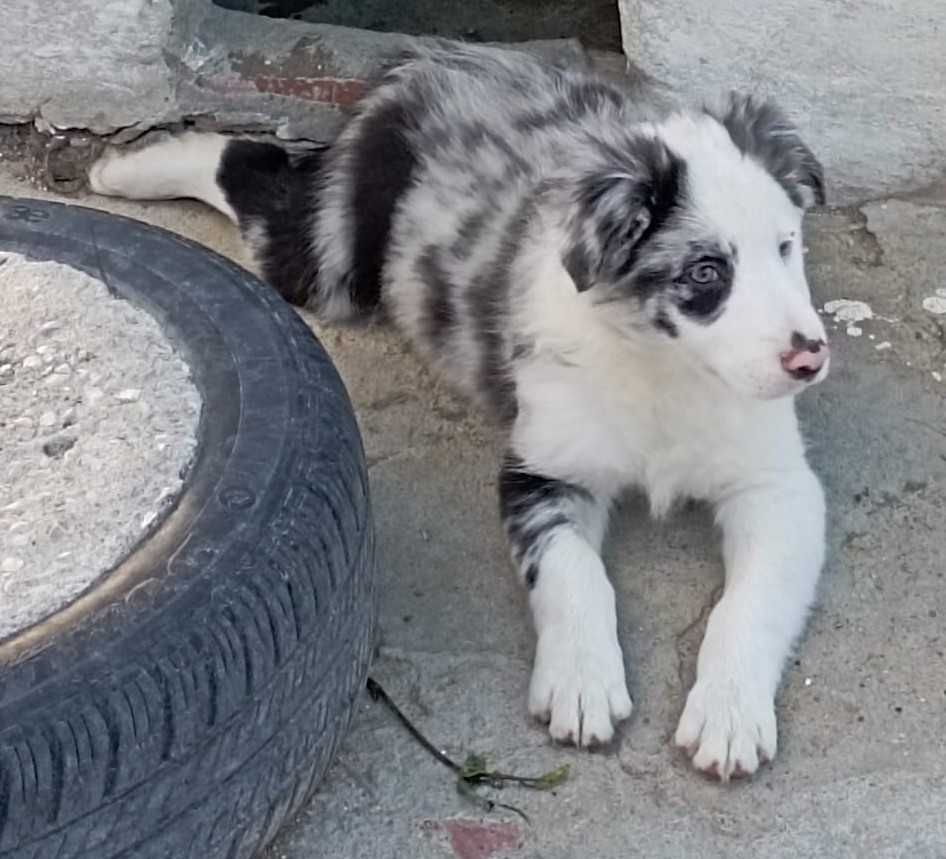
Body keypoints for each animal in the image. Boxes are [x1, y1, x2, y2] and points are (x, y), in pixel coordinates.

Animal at [88, 38, 824, 780]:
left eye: (786, 247)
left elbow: (750, 603)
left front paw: (729, 713)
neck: (665, 368)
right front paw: (581, 680)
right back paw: (129, 166)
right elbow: (573, 573)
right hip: (332, 261)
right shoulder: (543, 470)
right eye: (706, 273)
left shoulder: (779, 487)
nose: (811, 359)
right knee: (256, 182)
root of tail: (441, 56)